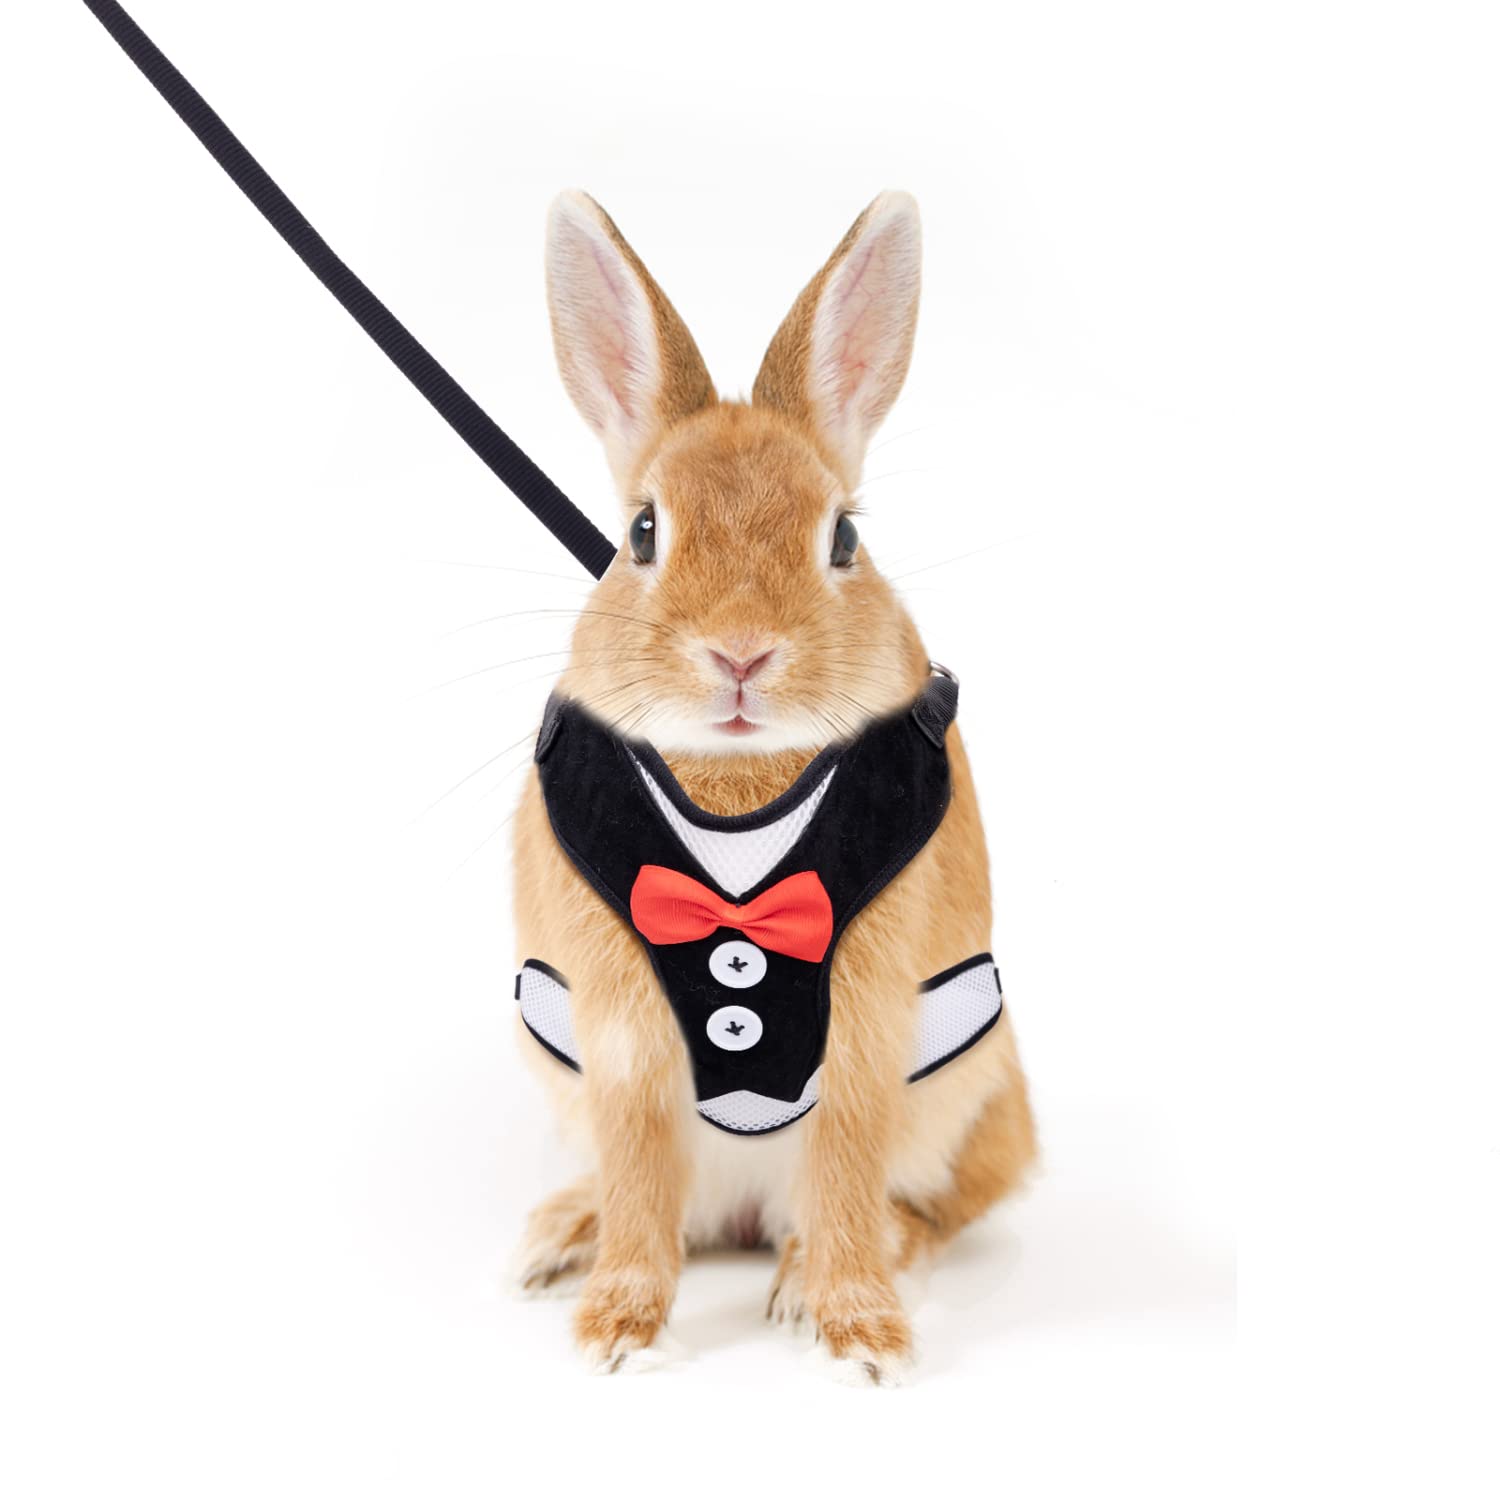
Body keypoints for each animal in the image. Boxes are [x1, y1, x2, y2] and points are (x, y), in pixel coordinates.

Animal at [509, 189, 1036, 1383]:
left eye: (842, 537)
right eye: (641, 533)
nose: (740, 653)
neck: (739, 788)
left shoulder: (869, 1028)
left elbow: (843, 1166)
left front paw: (864, 1338)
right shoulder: (621, 1036)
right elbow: (642, 1176)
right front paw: (615, 1331)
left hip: (976, 1087)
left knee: (927, 1201)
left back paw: (823, 1271)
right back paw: (563, 1232)